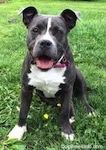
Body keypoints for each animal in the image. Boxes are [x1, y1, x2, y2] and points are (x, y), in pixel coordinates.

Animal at [7, 6, 93, 141]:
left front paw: (67, 131)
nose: (45, 42)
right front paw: (18, 130)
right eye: (35, 30)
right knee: (68, 102)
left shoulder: (67, 89)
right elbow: (23, 111)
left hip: (79, 78)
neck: (49, 68)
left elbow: (64, 111)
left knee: (82, 97)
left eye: (58, 31)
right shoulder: (26, 89)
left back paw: (88, 110)